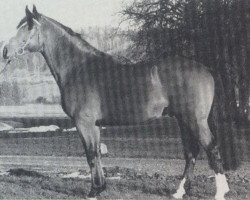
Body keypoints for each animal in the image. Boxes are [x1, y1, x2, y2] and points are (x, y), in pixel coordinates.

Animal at [0, 5, 234, 199]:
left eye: (27, 27)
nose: (5, 51)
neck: (79, 68)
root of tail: (205, 69)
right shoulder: (94, 125)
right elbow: (96, 154)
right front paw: (100, 188)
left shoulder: (84, 123)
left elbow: (90, 154)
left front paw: (93, 191)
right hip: (182, 119)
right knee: (191, 153)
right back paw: (179, 192)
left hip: (195, 120)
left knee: (211, 149)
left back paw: (220, 192)